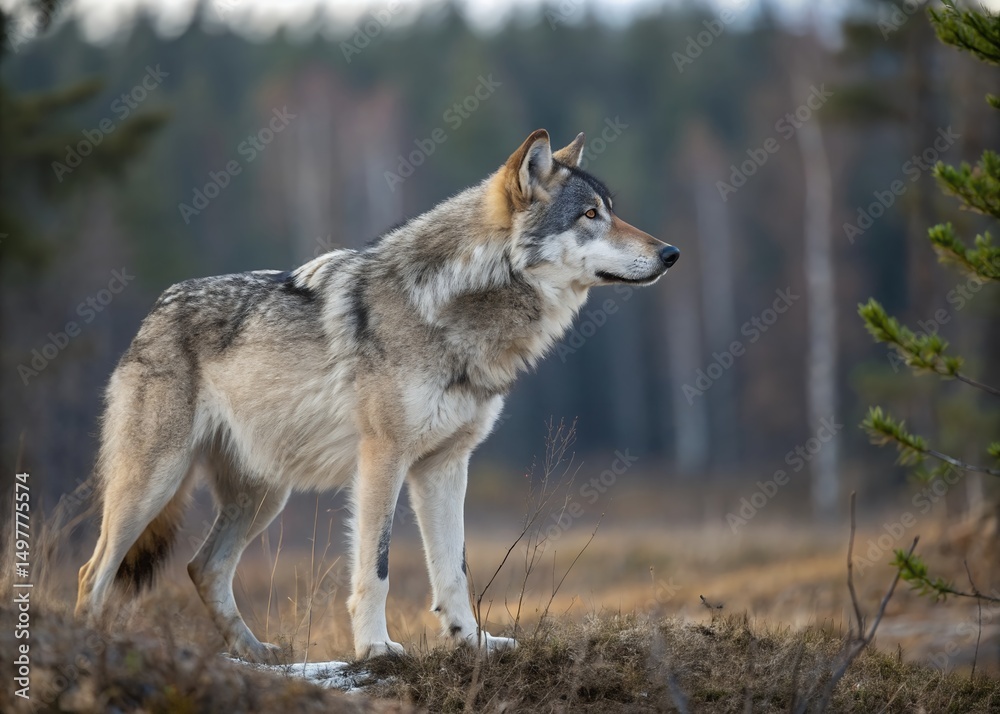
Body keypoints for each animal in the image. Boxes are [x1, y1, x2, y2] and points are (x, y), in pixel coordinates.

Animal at [75, 129, 679, 661]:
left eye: (610, 209)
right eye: (589, 215)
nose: (671, 252)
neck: (452, 308)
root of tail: (154, 311)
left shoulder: (445, 465)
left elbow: (453, 569)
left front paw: (473, 643)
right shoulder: (382, 459)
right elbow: (377, 568)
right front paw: (376, 649)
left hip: (264, 497)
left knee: (204, 568)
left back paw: (255, 654)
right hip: (153, 484)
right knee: (94, 571)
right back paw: (91, 647)